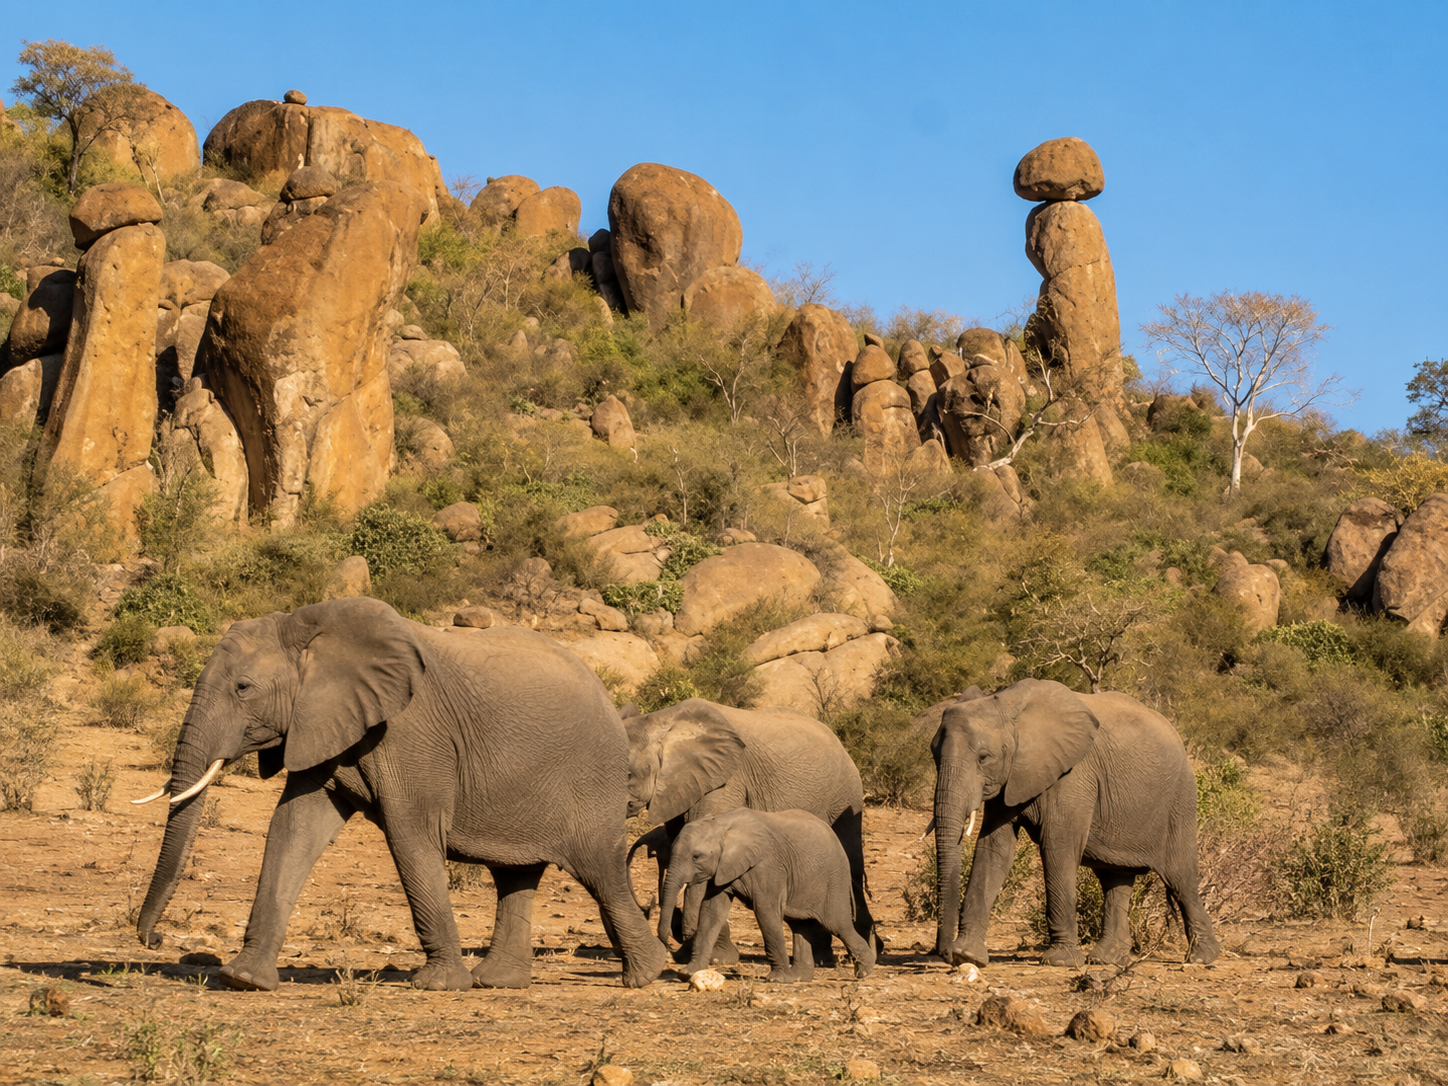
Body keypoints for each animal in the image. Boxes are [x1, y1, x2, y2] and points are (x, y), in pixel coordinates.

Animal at [132, 597, 667, 992]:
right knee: (516, 873)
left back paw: (646, 975)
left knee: (599, 869)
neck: (311, 631)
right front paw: (244, 979)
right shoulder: (324, 723)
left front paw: (438, 986)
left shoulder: (410, 734)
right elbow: (292, 827)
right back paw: (498, 982)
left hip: (590, 777)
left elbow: (411, 832)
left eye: (243, 688)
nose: (153, 940)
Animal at [621, 698, 873, 965]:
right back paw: (822, 955)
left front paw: (714, 956)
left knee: (852, 862)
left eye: (628, 774)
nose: (667, 942)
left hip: (845, 795)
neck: (662, 720)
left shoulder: (726, 781)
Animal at [662, 808, 876, 983]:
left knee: (837, 924)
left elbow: (765, 911)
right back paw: (799, 978)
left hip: (833, 880)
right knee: (800, 925)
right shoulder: (723, 868)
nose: (667, 946)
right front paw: (688, 974)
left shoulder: (768, 866)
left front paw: (777, 980)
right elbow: (711, 911)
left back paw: (864, 971)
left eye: (696, 857)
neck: (721, 823)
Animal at [930, 678, 1219, 969]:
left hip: (1179, 798)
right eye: (933, 756)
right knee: (1115, 879)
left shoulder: (1074, 775)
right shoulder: (1010, 776)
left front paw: (1061, 961)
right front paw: (967, 955)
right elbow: (993, 849)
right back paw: (1106, 959)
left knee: (1180, 877)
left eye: (983, 757)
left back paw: (1201, 957)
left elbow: (1057, 847)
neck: (1009, 706)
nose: (943, 954)